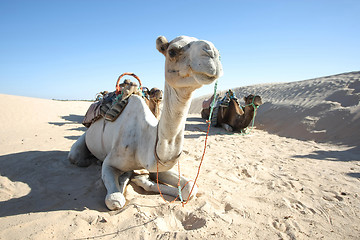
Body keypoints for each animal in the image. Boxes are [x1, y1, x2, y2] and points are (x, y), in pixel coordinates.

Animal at [67, 35, 222, 210]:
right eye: (172, 51)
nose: (212, 52)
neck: (145, 140)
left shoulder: (157, 166)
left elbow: (190, 188)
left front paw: (141, 179)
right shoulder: (110, 163)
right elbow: (115, 200)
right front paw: (128, 182)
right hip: (81, 144)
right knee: (76, 156)